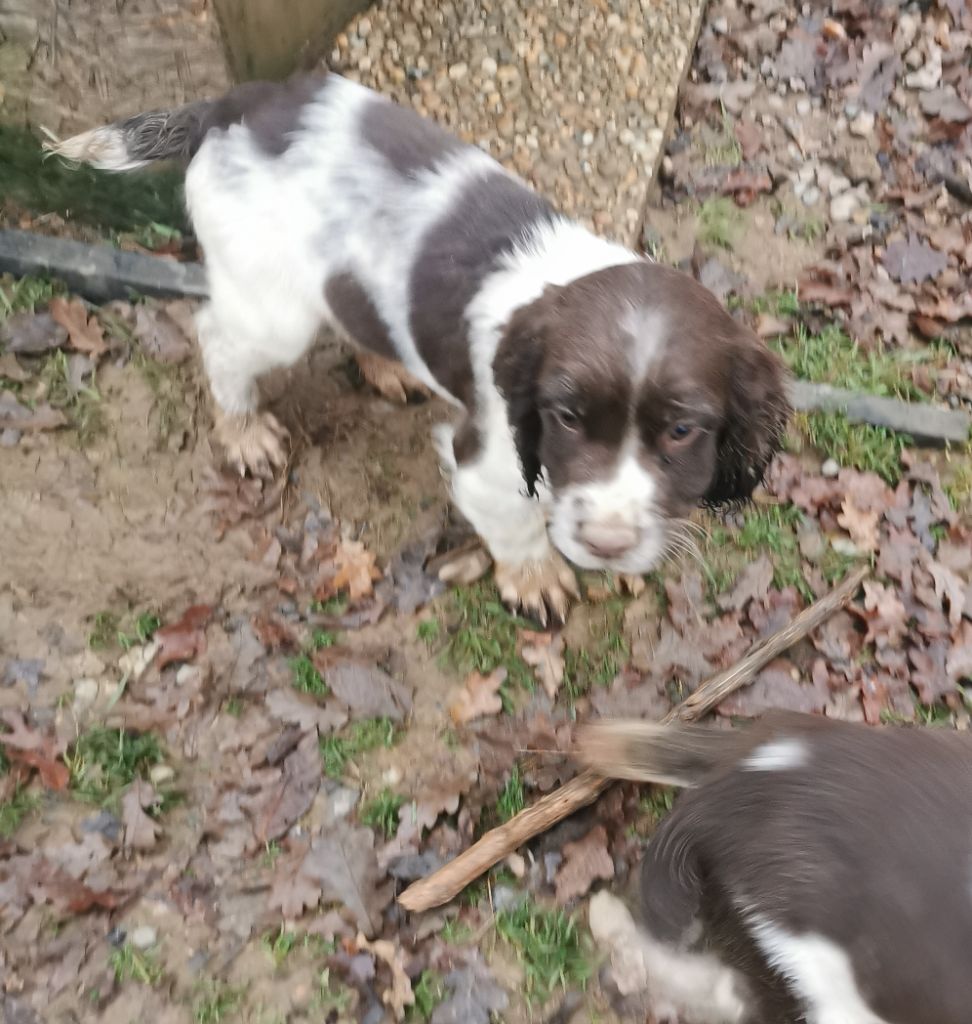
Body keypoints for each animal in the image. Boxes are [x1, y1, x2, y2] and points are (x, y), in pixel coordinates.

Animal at [47, 72, 790, 618]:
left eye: (683, 431)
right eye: (567, 418)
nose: (606, 545)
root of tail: (227, 107)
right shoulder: (485, 460)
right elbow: (516, 523)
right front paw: (536, 579)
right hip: (275, 310)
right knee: (219, 339)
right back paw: (243, 432)